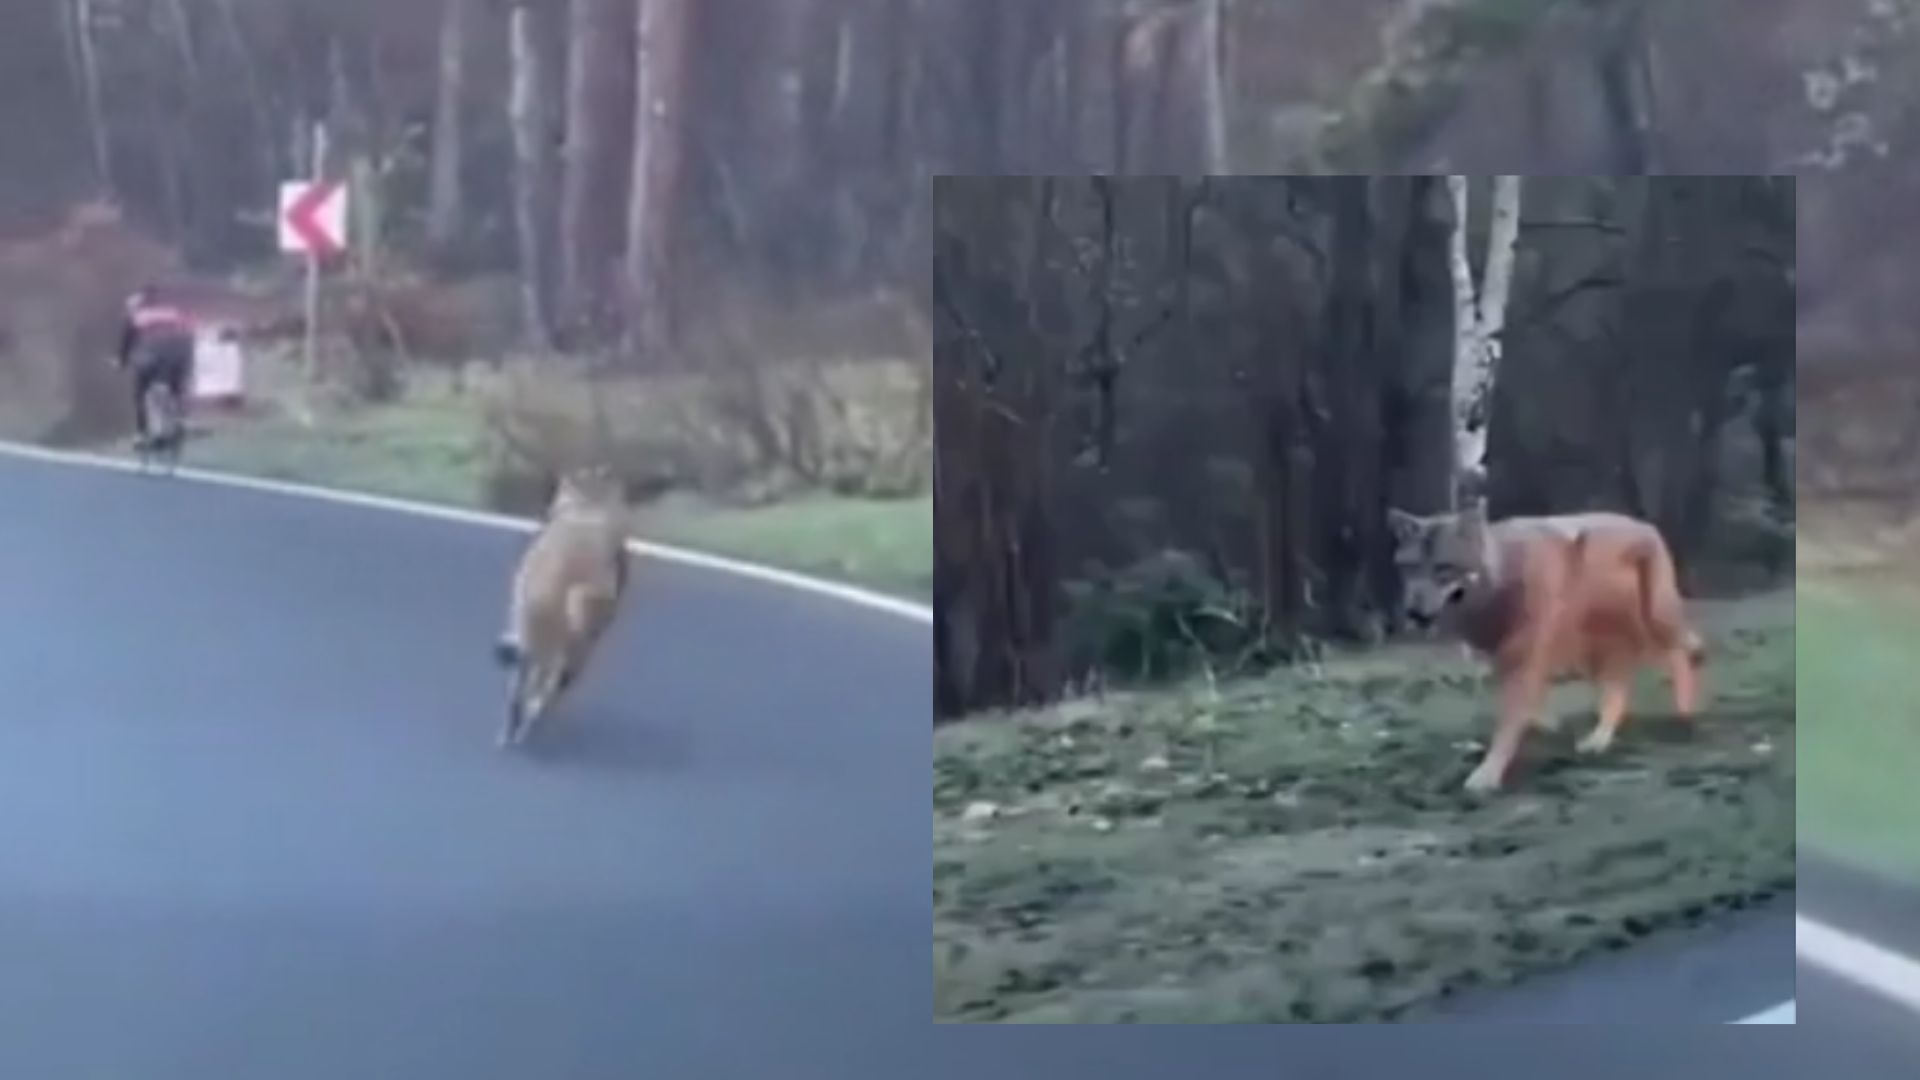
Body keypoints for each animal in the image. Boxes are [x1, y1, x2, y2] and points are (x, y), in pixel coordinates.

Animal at [493, 466, 632, 748]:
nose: (549, 509)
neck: (587, 511)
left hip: (540, 641)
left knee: (525, 689)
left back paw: (514, 730)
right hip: (568, 647)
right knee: (547, 688)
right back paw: (529, 722)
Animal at [1385, 503, 1706, 793]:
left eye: (1444, 567)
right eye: (1410, 568)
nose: (1412, 613)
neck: (1501, 581)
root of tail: (1644, 524)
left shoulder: (1525, 657)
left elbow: (1509, 721)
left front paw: (1486, 775)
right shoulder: (1505, 659)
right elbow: (1530, 704)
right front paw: (1546, 724)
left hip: (1655, 623)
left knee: (1682, 656)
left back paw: (1684, 714)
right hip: (1594, 651)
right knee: (1618, 693)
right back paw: (1597, 740)